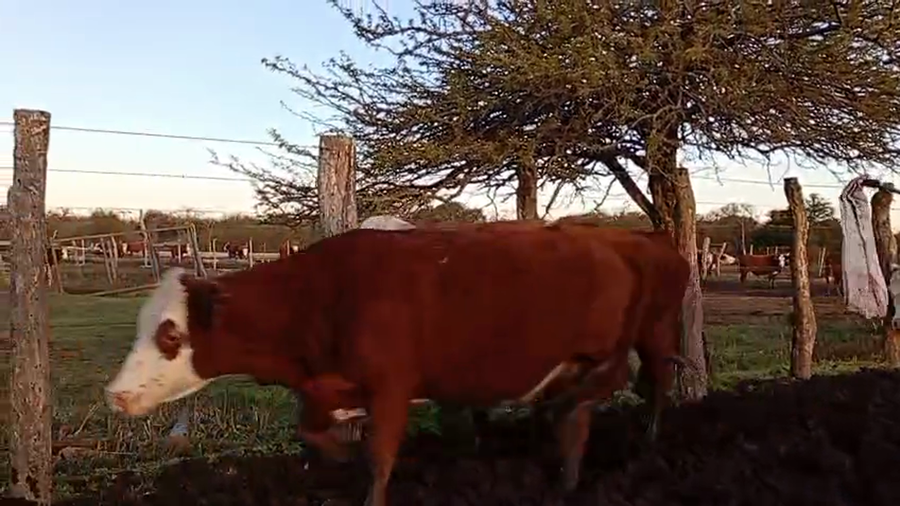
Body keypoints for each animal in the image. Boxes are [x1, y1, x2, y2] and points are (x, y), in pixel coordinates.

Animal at [105, 223, 689, 506]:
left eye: (170, 333)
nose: (114, 393)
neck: (325, 296)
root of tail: (623, 244)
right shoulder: (325, 388)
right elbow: (314, 432)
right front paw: (339, 456)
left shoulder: (391, 386)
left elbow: (381, 457)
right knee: (580, 420)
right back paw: (565, 480)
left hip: (626, 342)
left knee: (629, 384)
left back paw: (642, 438)